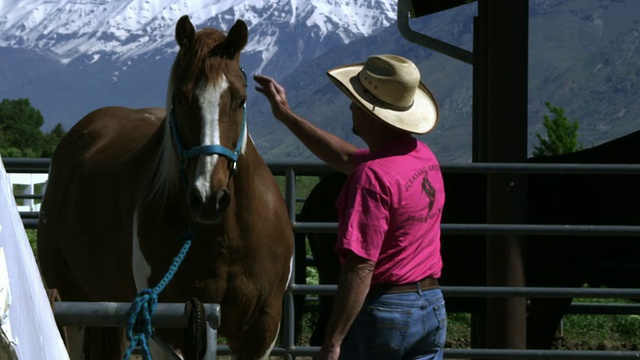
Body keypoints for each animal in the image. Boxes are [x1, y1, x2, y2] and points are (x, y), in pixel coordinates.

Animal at [36, 15, 292, 358]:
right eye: (180, 98)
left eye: (240, 99)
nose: (208, 198)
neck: (227, 236)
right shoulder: (168, 325)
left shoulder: (261, 328)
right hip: (71, 303)